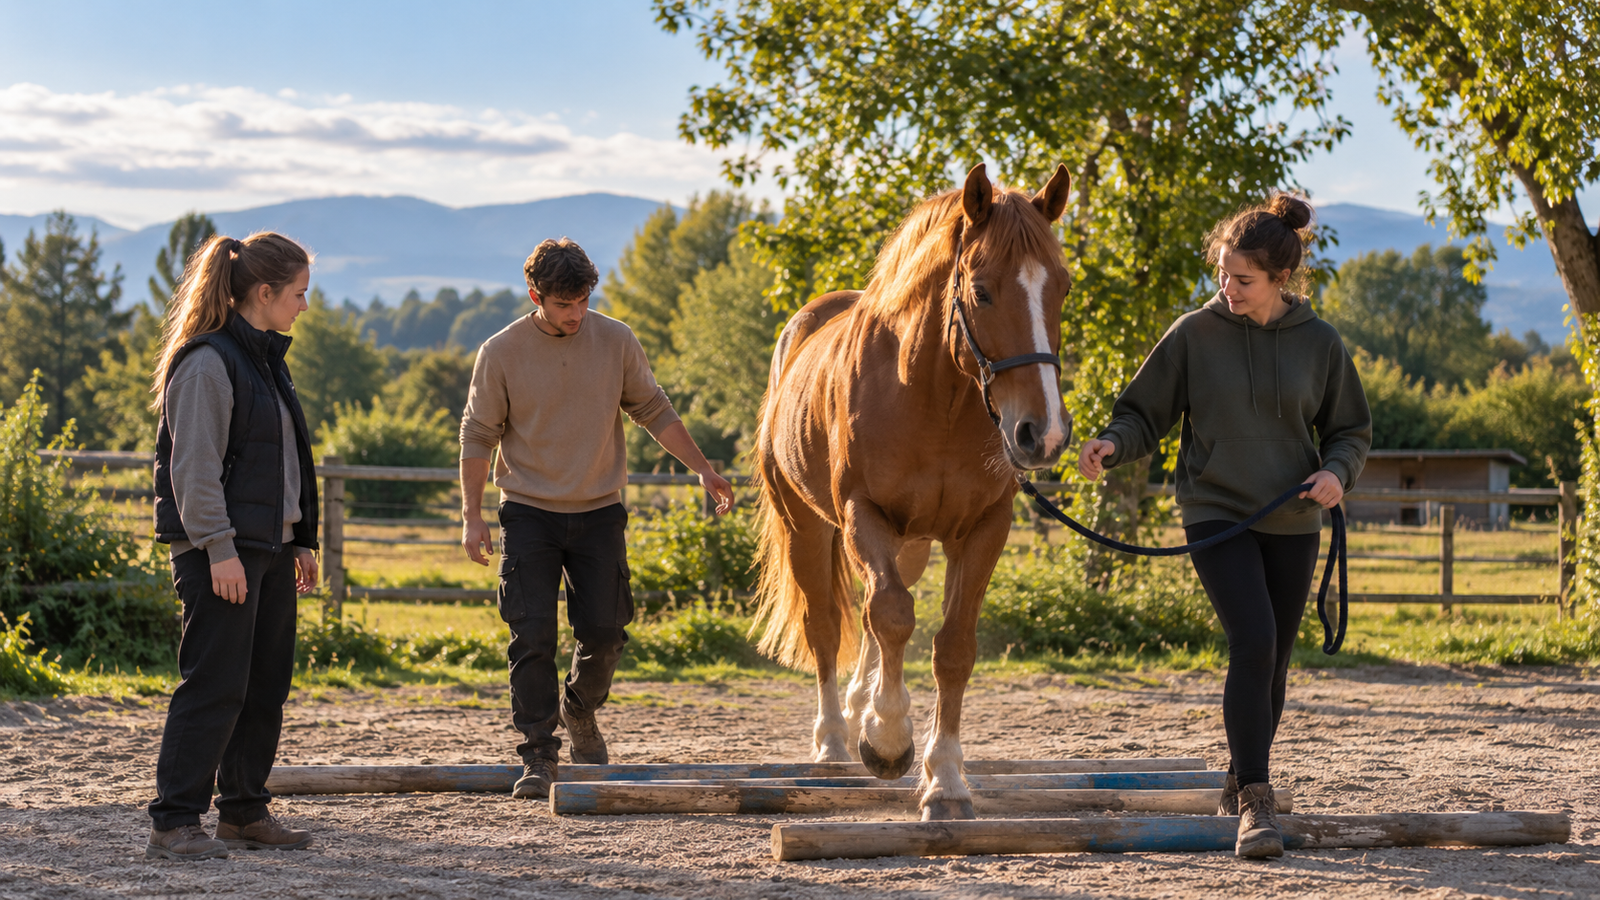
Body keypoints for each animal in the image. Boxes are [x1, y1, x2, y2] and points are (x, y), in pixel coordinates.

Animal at [751, 162, 1074, 820]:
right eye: (982, 291)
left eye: (1062, 288)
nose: (1044, 433)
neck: (934, 398)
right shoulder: (862, 514)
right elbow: (893, 615)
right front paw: (888, 740)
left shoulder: (983, 529)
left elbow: (952, 647)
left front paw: (945, 779)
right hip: (807, 526)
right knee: (828, 624)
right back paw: (836, 740)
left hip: (913, 544)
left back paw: (859, 708)